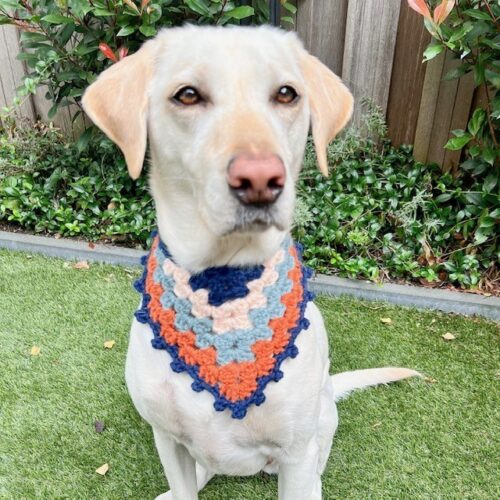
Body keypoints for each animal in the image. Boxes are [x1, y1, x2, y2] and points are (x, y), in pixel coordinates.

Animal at [84, 26, 420, 500]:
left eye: (286, 94)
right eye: (187, 95)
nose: (260, 179)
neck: (225, 281)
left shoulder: (296, 454)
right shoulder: (167, 439)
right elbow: (184, 482)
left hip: (319, 428)